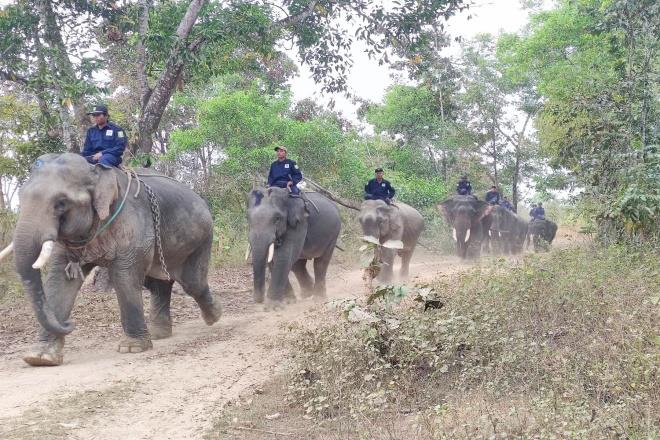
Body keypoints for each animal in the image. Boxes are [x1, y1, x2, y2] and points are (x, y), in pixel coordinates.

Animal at [0, 153, 222, 366]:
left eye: (61, 204)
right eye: (21, 197)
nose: (69, 324)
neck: (96, 172)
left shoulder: (132, 223)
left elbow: (125, 275)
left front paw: (132, 348)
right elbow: (60, 279)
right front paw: (39, 358)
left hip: (202, 237)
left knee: (192, 282)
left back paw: (215, 316)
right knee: (158, 284)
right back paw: (159, 334)